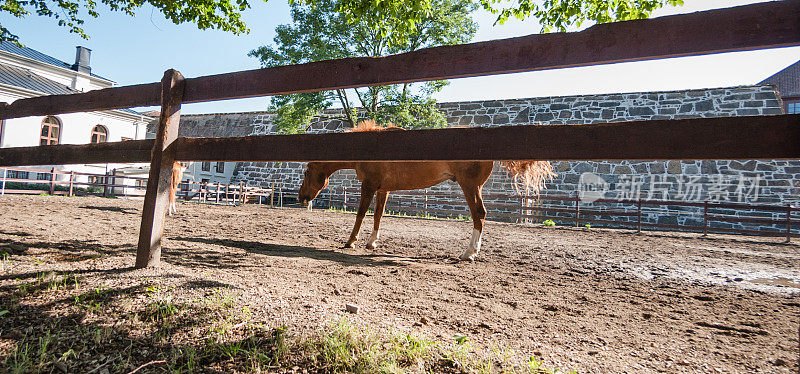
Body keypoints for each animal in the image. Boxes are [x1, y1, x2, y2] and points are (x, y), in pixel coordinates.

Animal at [296, 121, 552, 262]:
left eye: (307, 171)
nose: (301, 197)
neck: (372, 147)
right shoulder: (383, 190)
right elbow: (378, 216)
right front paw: (372, 242)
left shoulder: (368, 186)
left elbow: (360, 215)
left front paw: (351, 241)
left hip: (470, 187)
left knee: (479, 215)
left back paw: (469, 252)